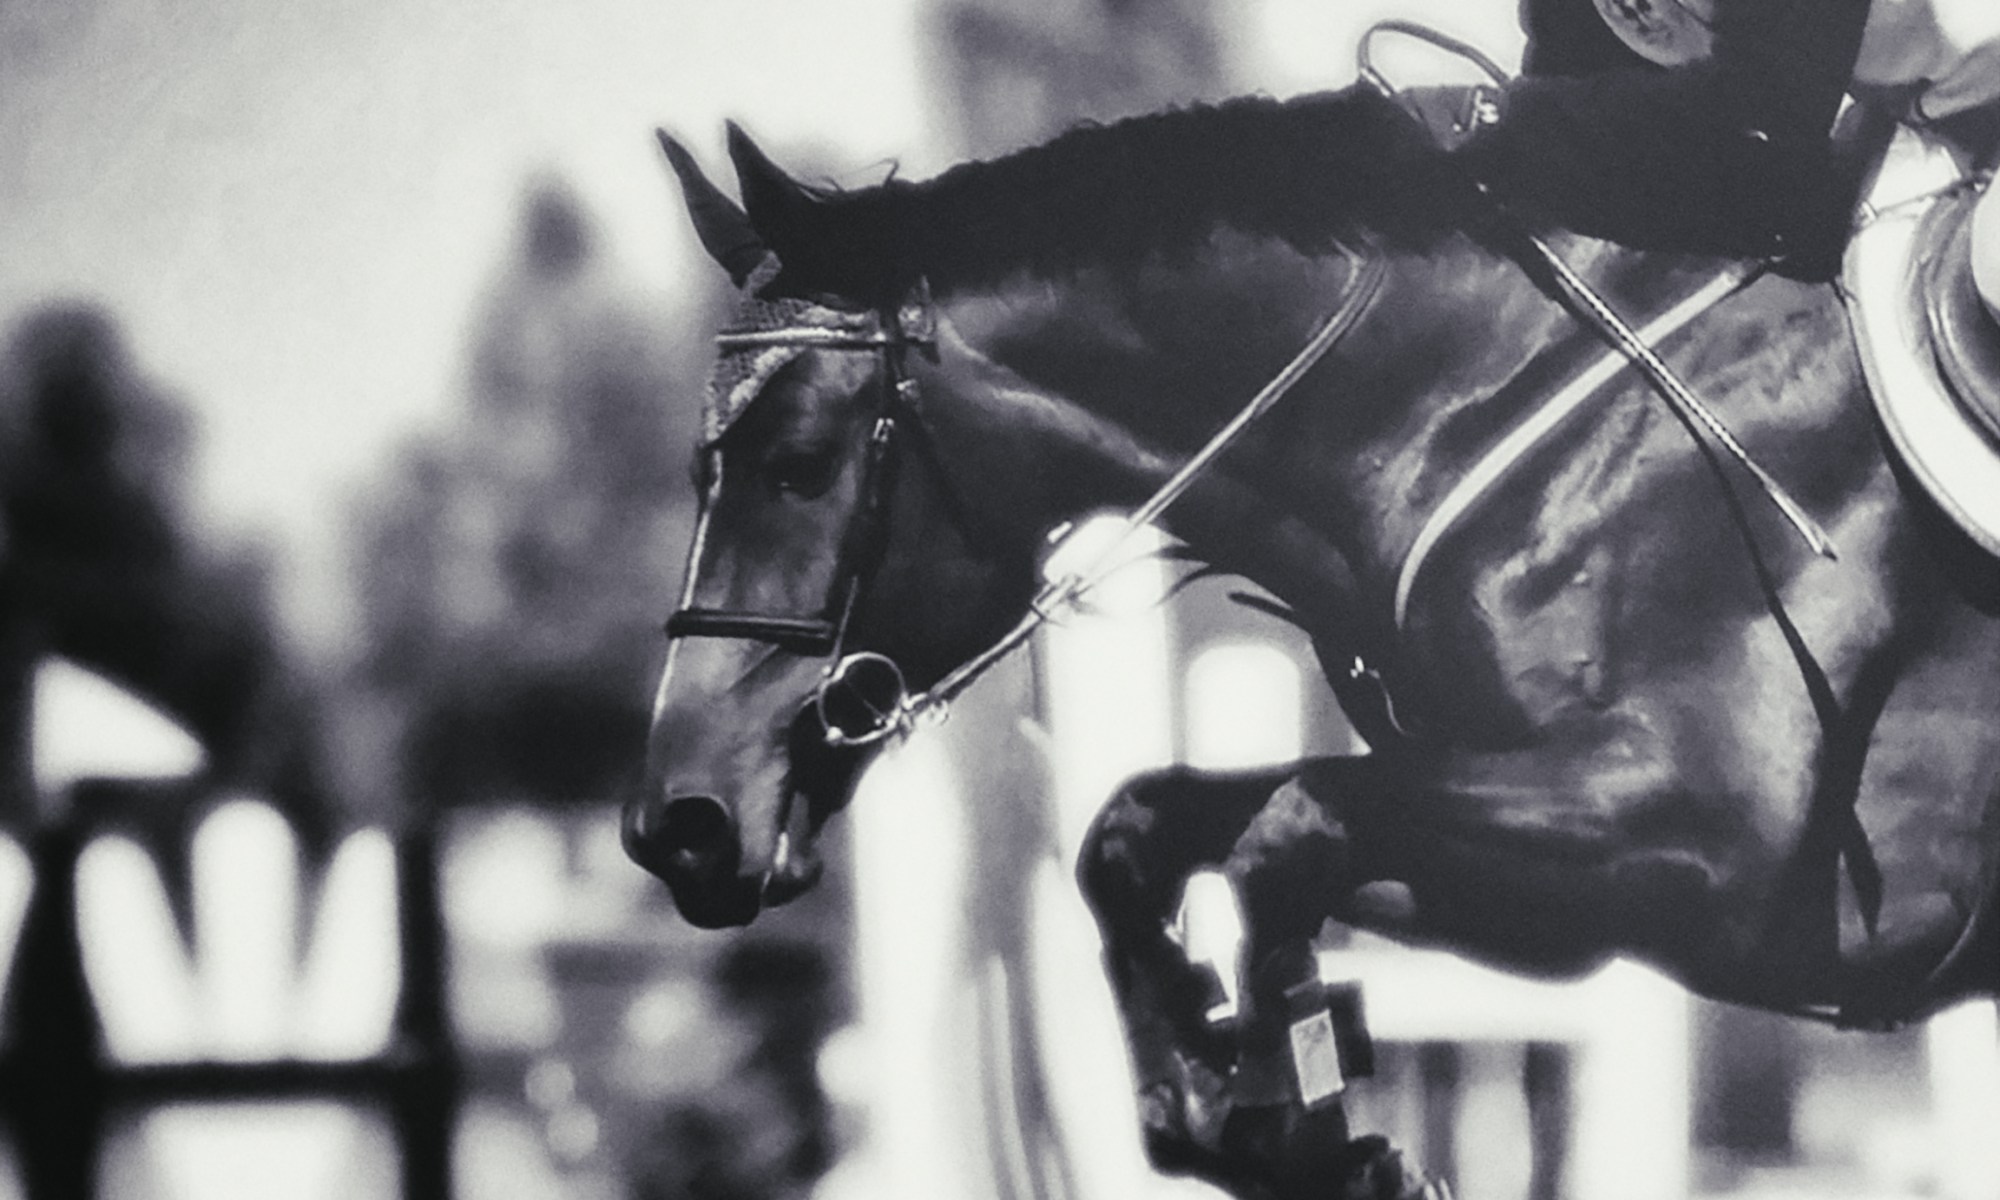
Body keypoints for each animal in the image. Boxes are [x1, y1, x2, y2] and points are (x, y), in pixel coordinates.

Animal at [628, 81, 2000, 1198]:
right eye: (698, 469)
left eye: (799, 464)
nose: (678, 825)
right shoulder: (1558, 895)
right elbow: (1144, 828)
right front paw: (1214, 1096)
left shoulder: (1713, 850)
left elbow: (1293, 832)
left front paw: (1287, 1122)